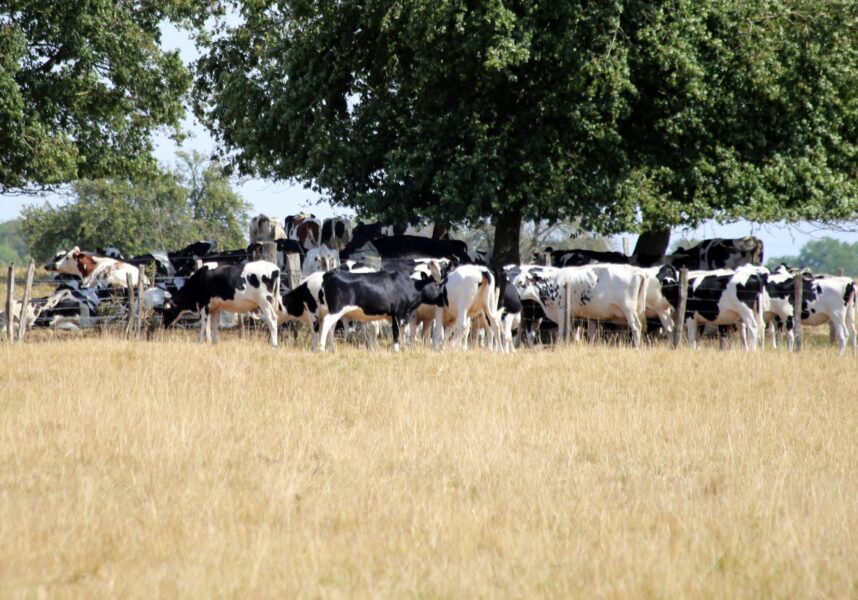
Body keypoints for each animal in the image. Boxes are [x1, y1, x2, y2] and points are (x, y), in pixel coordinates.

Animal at [512, 266, 644, 346]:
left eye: (521, 282)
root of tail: (637, 272)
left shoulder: (562, 311)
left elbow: (562, 332)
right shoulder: (571, 316)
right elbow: (570, 332)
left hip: (628, 309)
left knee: (636, 326)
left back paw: (637, 347)